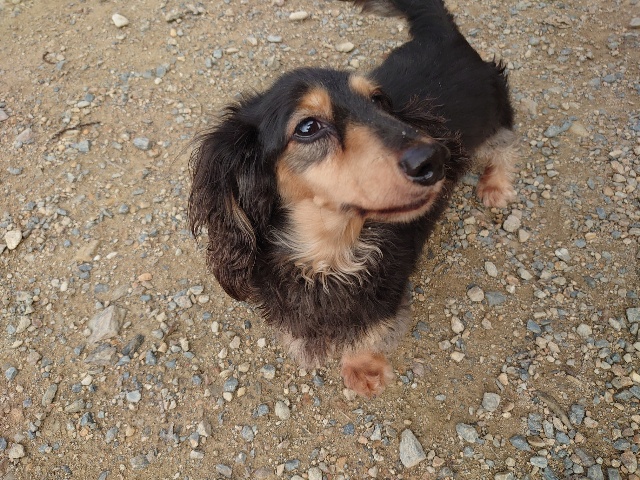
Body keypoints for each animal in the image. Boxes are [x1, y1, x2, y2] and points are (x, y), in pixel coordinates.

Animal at [188, 0, 516, 397]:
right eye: (308, 127)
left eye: (377, 101)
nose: (434, 159)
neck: (331, 251)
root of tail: (443, 33)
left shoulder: (384, 297)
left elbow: (367, 335)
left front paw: (363, 369)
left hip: (495, 109)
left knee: (505, 144)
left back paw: (496, 184)